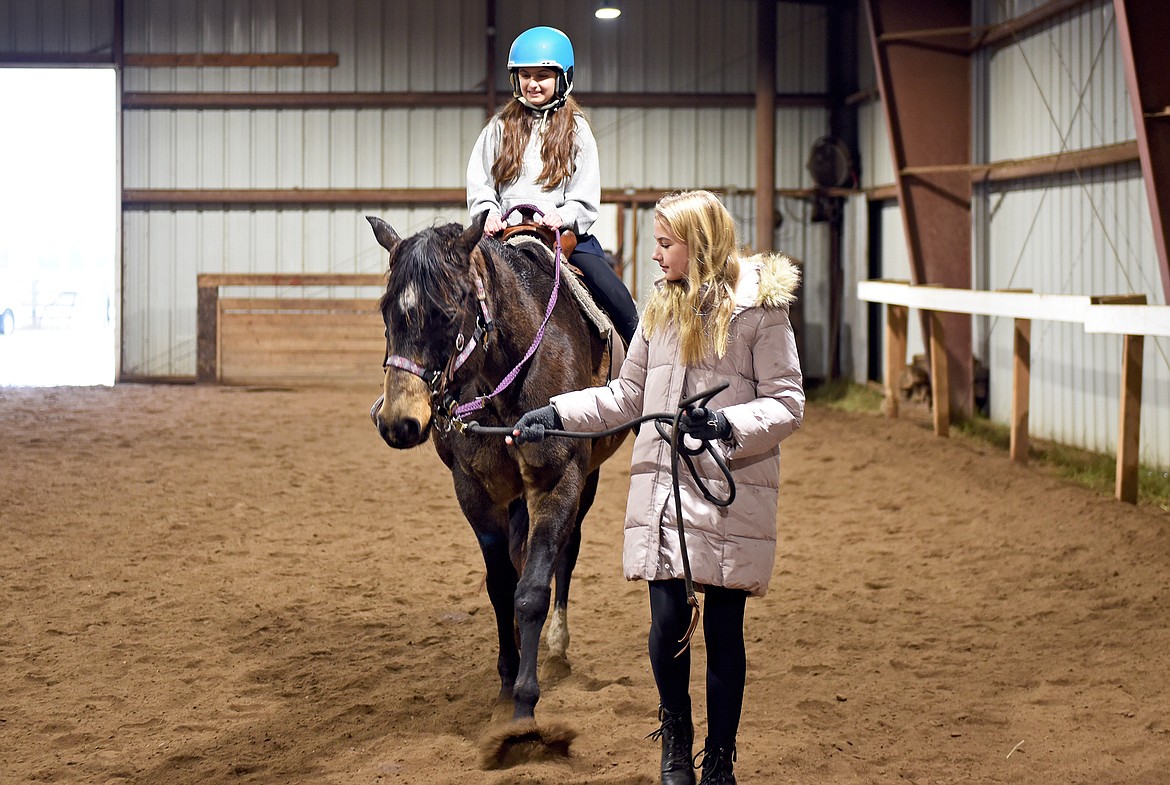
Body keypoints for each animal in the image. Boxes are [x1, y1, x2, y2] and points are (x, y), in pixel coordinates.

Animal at [367, 211, 631, 762]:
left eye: (447, 315)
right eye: (385, 311)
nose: (399, 422)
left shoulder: (559, 481)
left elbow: (532, 588)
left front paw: (525, 713)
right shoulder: (476, 492)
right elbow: (500, 584)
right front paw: (508, 683)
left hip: (587, 480)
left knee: (565, 556)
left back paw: (556, 648)